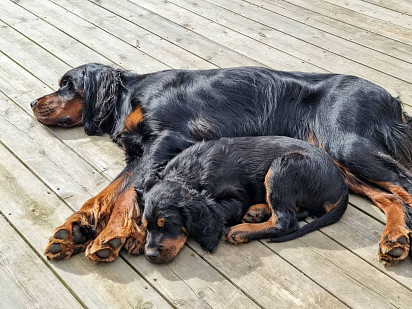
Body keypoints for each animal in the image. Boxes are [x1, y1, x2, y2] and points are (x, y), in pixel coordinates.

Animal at [142, 135, 348, 262]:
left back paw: (242, 231)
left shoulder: (236, 199)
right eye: (145, 226)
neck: (186, 174)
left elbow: (219, 210)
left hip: (283, 166)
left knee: (285, 221)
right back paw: (257, 212)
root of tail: (341, 185)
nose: (150, 254)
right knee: (298, 211)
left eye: (168, 226)